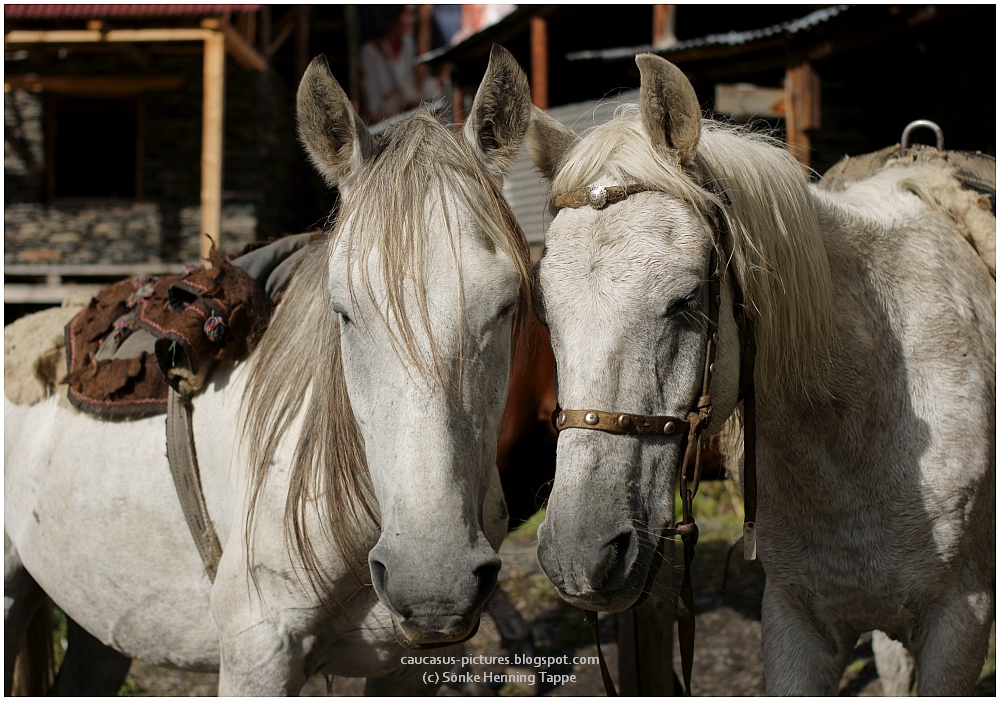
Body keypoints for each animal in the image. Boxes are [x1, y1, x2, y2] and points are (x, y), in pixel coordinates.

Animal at [5, 45, 540, 696]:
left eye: (506, 303)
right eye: (343, 311)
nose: (434, 582)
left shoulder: (408, 667)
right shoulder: (258, 653)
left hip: (103, 620)